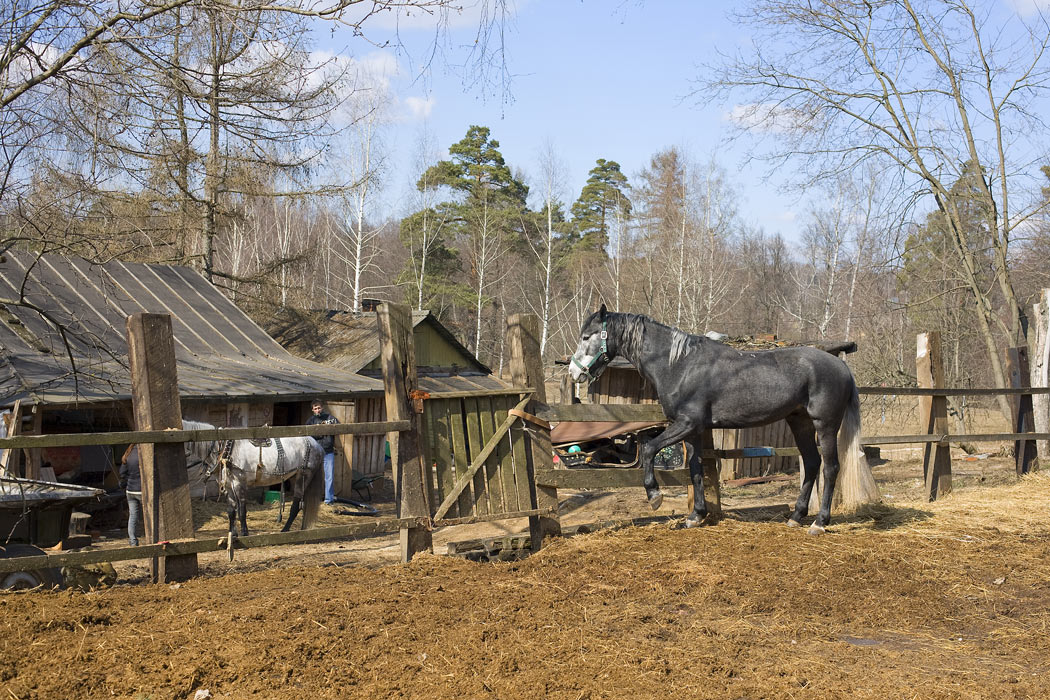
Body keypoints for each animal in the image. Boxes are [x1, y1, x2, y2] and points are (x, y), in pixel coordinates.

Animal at [182, 419, 323, 541]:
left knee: (296, 506)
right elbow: (231, 511)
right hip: (295, 477)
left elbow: (241, 511)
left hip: (303, 476)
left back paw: (285, 530)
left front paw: (244, 534)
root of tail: (315, 443)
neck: (224, 449)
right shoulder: (228, 486)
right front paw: (233, 534)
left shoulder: (239, 484)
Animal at [571, 304, 865, 533]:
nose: (575, 373)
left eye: (586, 336)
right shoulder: (693, 430)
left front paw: (654, 495)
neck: (680, 365)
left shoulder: (686, 423)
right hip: (799, 422)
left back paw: (819, 523)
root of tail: (841, 365)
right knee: (812, 463)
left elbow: (649, 449)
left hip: (825, 425)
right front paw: (695, 516)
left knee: (830, 467)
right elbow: (696, 469)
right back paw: (796, 517)